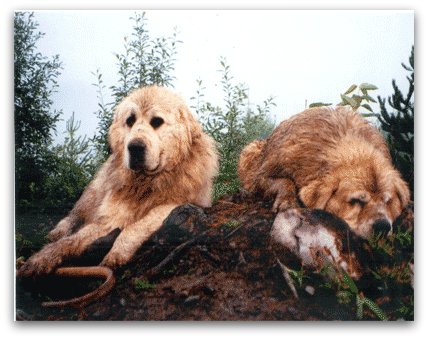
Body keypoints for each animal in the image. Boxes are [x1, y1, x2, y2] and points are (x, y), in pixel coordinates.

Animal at [239, 106, 410, 239]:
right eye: (355, 201)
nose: (382, 227)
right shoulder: (263, 173)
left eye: (388, 201)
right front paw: (287, 200)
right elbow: (283, 181)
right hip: (250, 149)